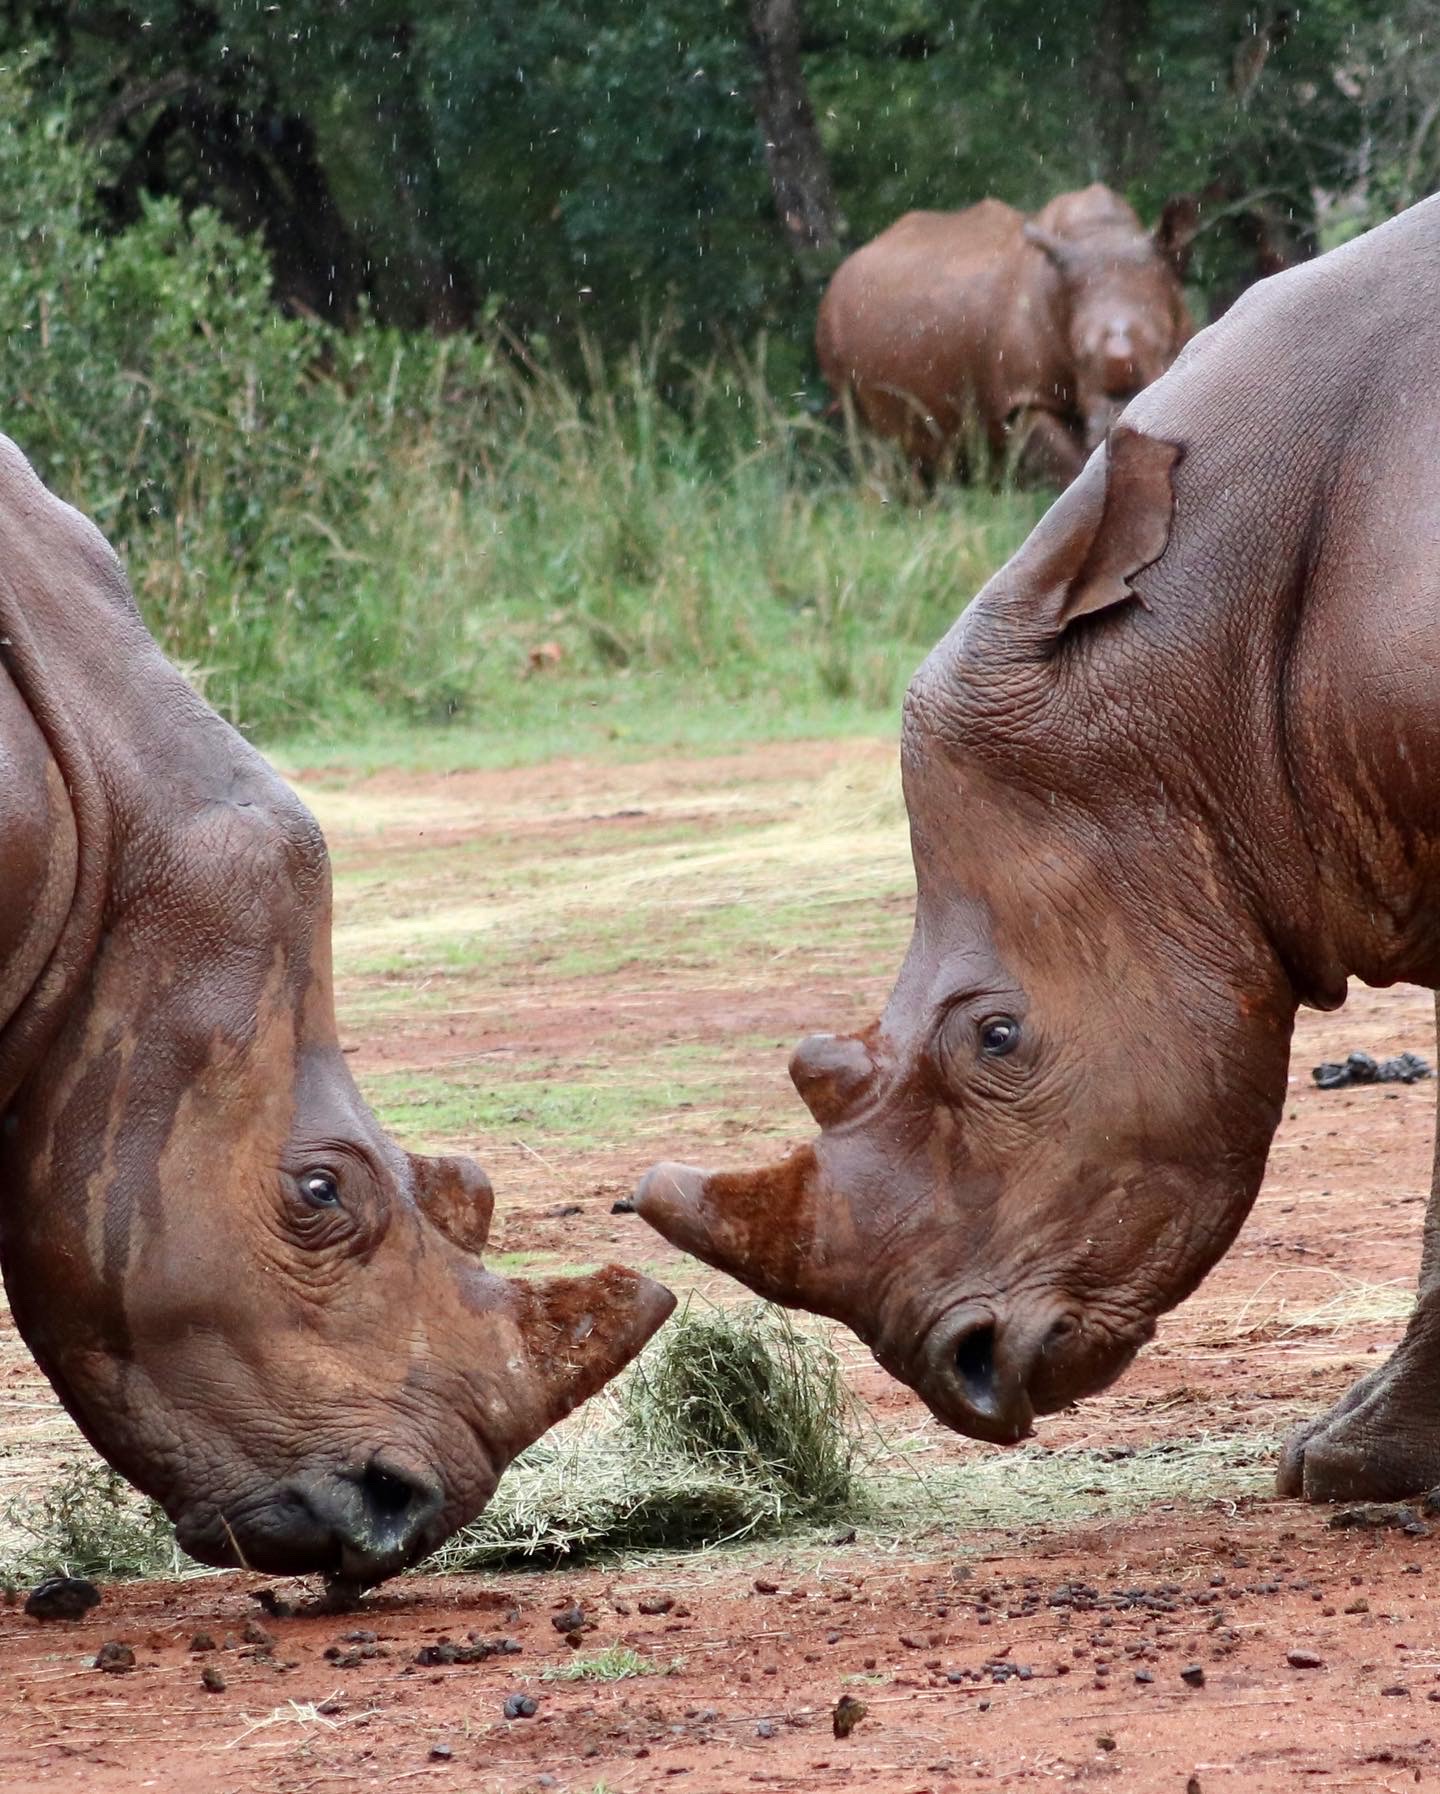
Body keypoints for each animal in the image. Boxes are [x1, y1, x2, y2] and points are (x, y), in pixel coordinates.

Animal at [816, 183, 1196, 484]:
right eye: (1079, 356)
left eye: (1167, 348)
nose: (1120, 418)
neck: (1101, 235)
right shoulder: (1023, 397)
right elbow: (1071, 469)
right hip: (832, 333)